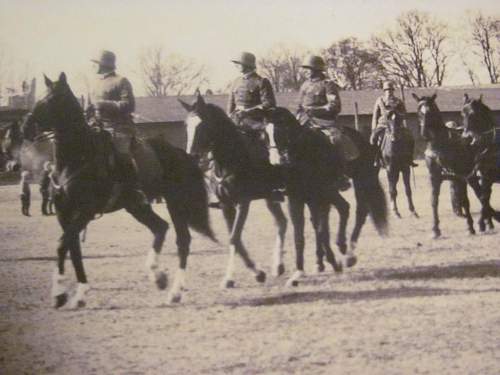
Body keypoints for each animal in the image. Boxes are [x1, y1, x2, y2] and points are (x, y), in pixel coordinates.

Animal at [181, 93, 290, 288]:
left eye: (202, 125)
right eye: (186, 125)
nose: (191, 156)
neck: (230, 159)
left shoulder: (243, 203)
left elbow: (234, 237)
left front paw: (228, 278)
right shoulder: (226, 205)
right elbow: (235, 239)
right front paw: (257, 273)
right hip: (270, 196)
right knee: (282, 222)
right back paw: (278, 266)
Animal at [266, 107, 386, 286]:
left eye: (281, 130)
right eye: (264, 134)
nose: (275, 164)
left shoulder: (322, 195)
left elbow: (322, 229)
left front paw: (332, 261)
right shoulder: (296, 200)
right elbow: (300, 235)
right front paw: (299, 272)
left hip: (360, 182)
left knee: (357, 212)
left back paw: (348, 254)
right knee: (339, 212)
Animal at [412, 92, 490, 238]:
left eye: (430, 111)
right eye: (419, 111)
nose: (424, 134)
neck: (440, 145)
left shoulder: (460, 177)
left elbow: (465, 200)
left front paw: (470, 227)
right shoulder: (435, 178)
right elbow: (434, 201)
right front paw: (435, 229)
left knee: (480, 194)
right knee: (480, 194)